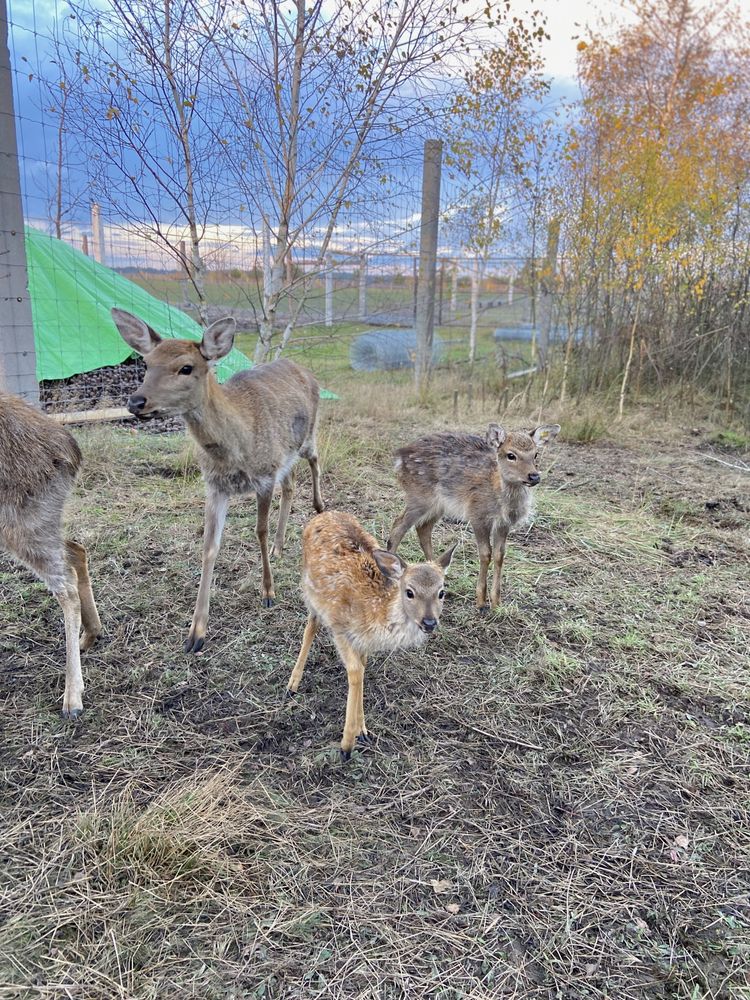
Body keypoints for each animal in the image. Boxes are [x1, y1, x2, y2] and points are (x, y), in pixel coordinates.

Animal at [0, 386, 101, 716]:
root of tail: (71, 450)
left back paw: (72, 698)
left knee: (66, 583)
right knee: (75, 549)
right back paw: (90, 635)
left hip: (23, 522)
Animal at [113, 308, 324, 652]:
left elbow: (259, 531)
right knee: (291, 484)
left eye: (186, 367)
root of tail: (303, 368)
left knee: (316, 461)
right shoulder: (215, 485)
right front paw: (195, 633)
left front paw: (268, 592)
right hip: (286, 454)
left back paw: (319, 507)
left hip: (308, 435)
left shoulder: (264, 476)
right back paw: (280, 546)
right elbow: (210, 546)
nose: (136, 402)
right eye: (146, 363)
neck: (235, 448)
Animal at [286, 512, 456, 760]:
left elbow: (363, 668)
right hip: (310, 591)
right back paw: (292, 685)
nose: (429, 623)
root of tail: (322, 514)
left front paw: (363, 730)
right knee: (311, 624)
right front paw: (346, 745)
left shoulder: (364, 642)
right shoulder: (340, 629)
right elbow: (356, 672)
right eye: (409, 592)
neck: (375, 612)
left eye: (442, 592)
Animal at [390, 422, 560, 608]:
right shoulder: (477, 514)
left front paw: (496, 602)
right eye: (511, 455)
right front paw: (480, 602)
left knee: (423, 528)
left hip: (438, 505)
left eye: (535, 454)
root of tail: (399, 457)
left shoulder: (504, 523)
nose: (534, 476)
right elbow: (485, 554)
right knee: (398, 525)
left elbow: (499, 555)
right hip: (419, 496)